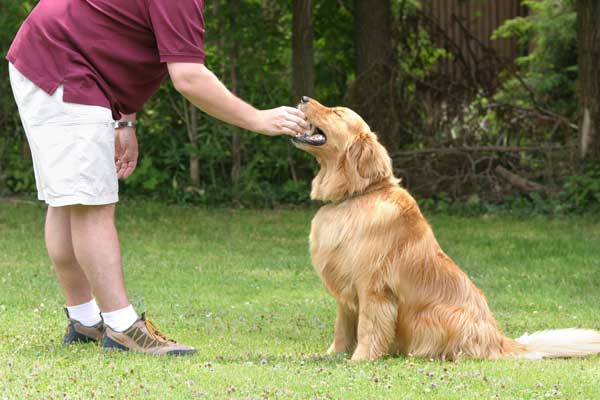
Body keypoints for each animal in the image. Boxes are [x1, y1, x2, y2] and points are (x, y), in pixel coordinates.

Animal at [292, 97, 600, 362]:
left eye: (336, 113)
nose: (304, 98)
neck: (355, 195)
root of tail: (501, 340)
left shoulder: (373, 287)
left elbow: (368, 328)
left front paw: (360, 359)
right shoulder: (346, 290)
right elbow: (342, 328)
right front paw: (332, 355)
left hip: (439, 314)